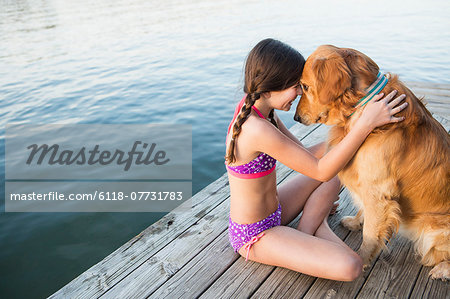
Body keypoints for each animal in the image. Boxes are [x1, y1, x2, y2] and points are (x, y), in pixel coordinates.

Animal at [296, 45, 450, 282]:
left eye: (304, 86)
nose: (295, 117)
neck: (363, 102)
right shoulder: (370, 187)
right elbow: (366, 213)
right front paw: (355, 221)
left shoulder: (378, 190)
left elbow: (370, 235)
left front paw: (361, 261)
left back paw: (443, 269)